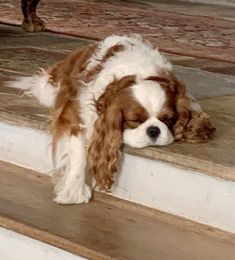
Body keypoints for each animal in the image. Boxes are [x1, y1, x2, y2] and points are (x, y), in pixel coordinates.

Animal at [8, 35, 216, 205]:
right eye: (135, 120)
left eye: (168, 119)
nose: (154, 131)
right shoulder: (75, 114)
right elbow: (78, 149)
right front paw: (74, 192)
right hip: (49, 91)